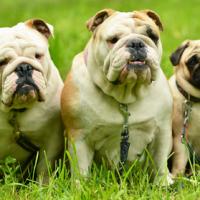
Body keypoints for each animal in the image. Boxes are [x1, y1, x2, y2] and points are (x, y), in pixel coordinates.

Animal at [0, 19, 63, 183]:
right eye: (2, 62)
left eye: (38, 55)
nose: (24, 67)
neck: (16, 111)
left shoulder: (51, 141)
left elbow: (44, 169)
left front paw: (44, 186)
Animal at [61, 9, 173, 184]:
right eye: (113, 40)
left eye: (153, 36)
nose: (136, 43)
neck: (125, 94)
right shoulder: (79, 137)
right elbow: (81, 170)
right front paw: (80, 187)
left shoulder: (161, 132)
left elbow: (159, 163)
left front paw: (162, 185)